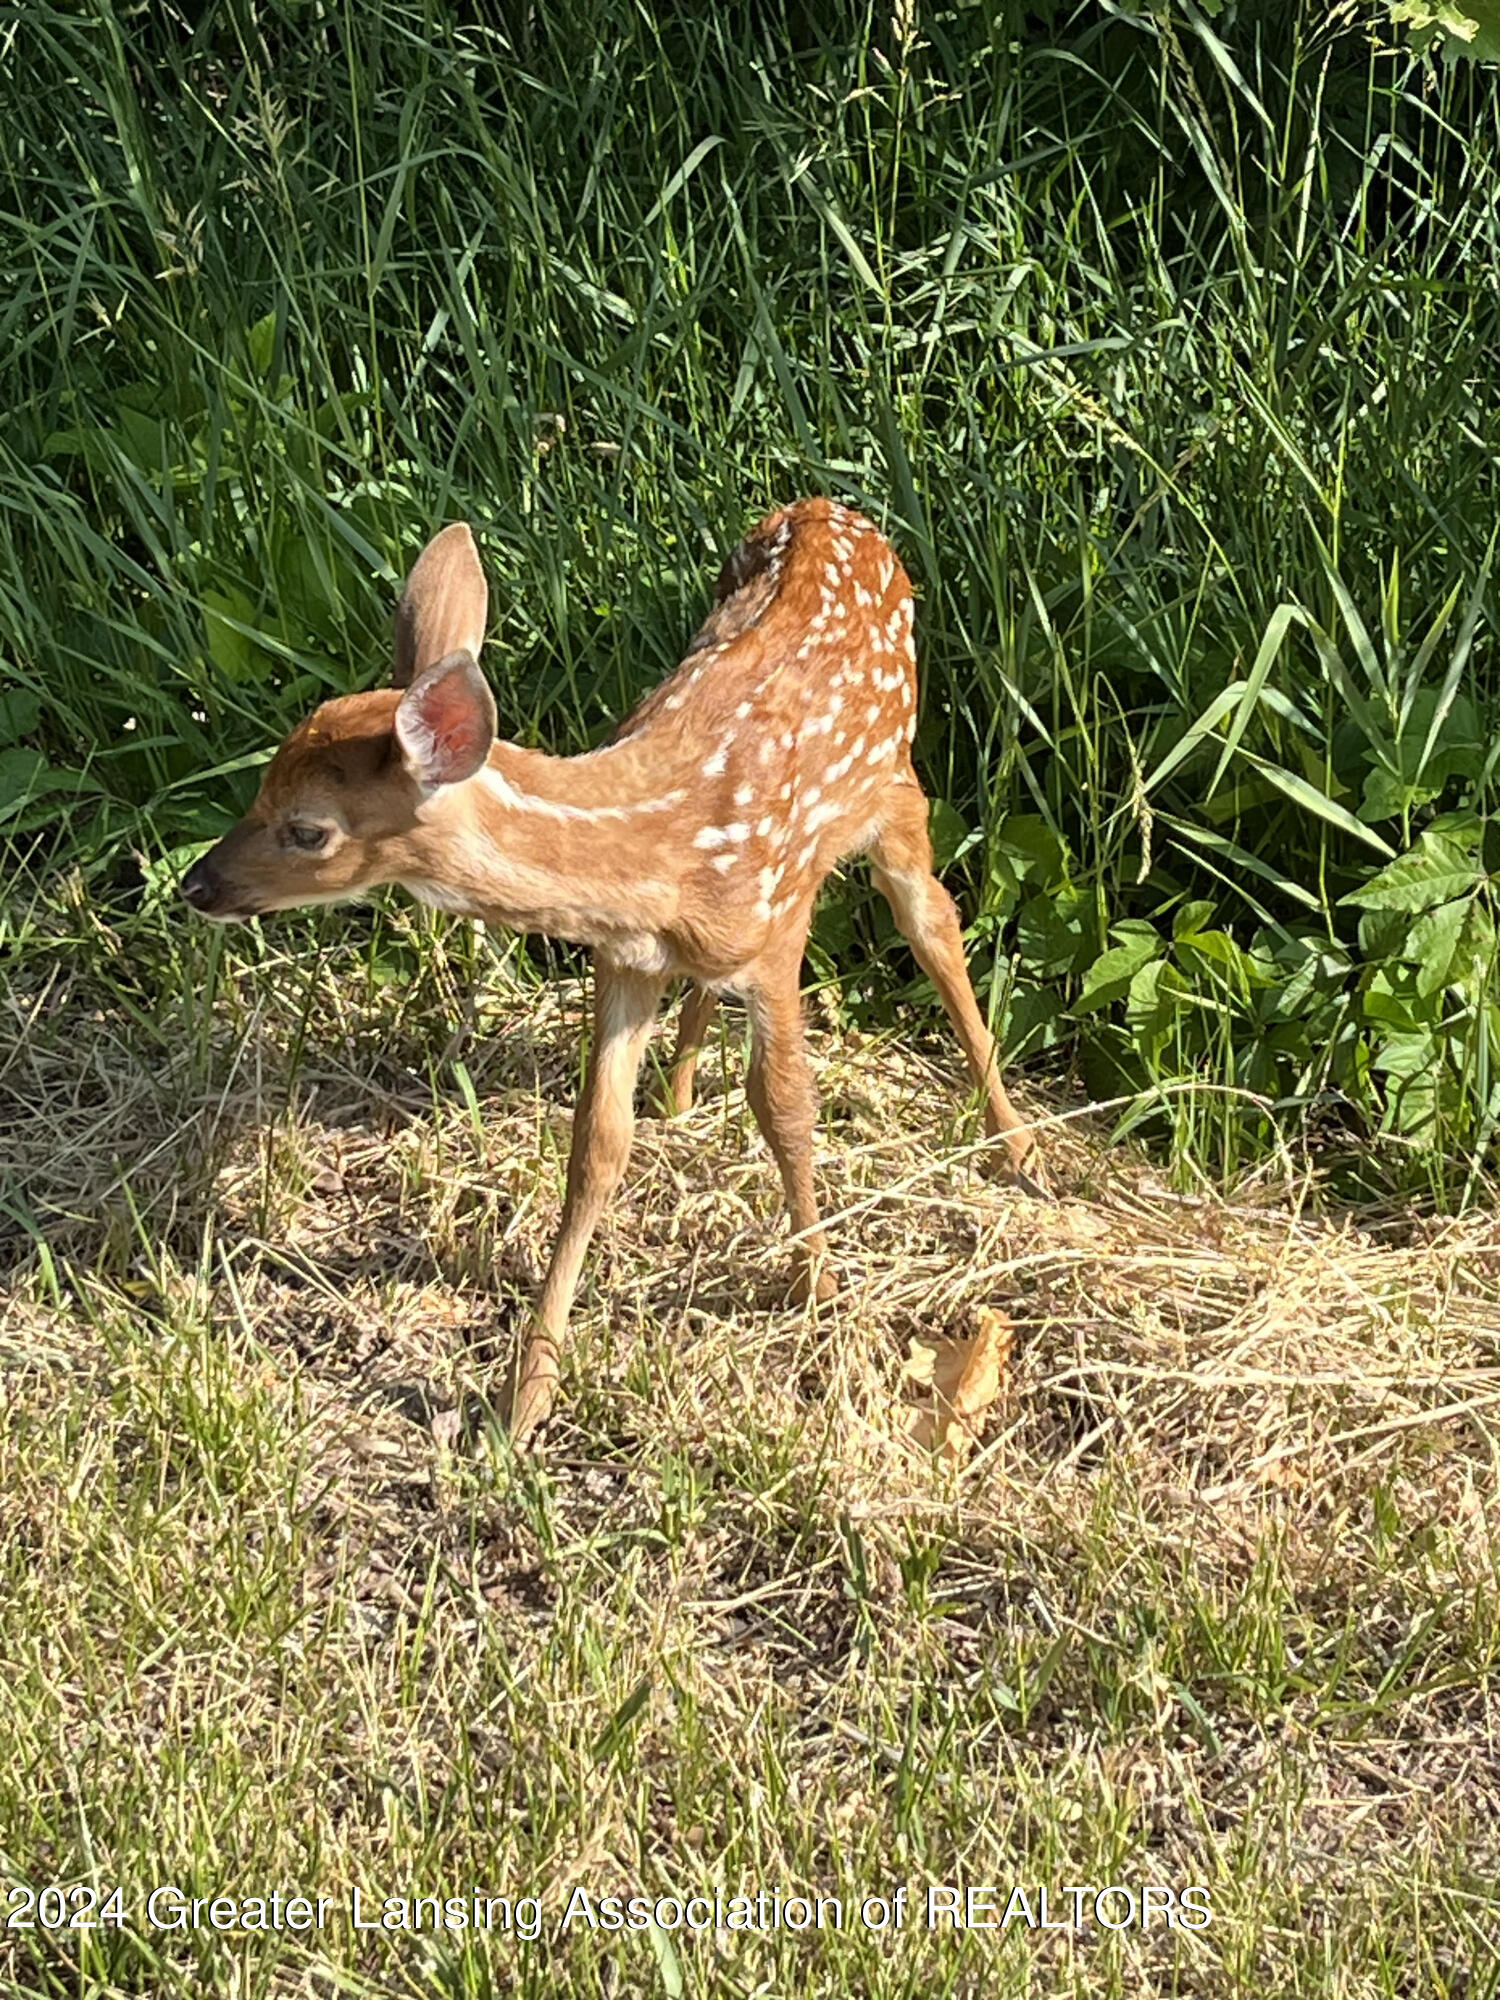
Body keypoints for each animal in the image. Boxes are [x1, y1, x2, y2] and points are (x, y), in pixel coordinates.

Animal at [180, 499, 1044, 1440]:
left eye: (308, 829)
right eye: (261, 785)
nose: (198, 884)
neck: (663, 846)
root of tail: (827, 508)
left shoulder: (778, 932)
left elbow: (785, 1108)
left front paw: (820, 1290)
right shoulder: (625, 960)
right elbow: (597, 1145)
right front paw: (526, 1397)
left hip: (893, 783)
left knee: (934, 924)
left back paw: (1017, 1146)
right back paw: (680, 1094)